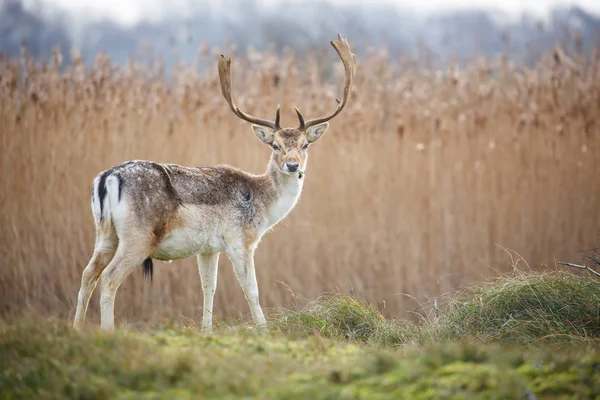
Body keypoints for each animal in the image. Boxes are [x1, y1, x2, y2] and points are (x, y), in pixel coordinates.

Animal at [74, 35, 356, 332]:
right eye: (275, 146)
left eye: (305, 145)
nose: (293, 165)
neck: (263, 204)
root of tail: (106, 179)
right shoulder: (240, 240)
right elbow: (251, 290)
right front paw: (264, 330)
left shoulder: (208, 248)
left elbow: (208, 288)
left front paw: (206, 330)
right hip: (138, 236)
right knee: (109, 278)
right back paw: (107, 330)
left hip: (105, 234)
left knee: (87, 274)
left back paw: (77, 328)